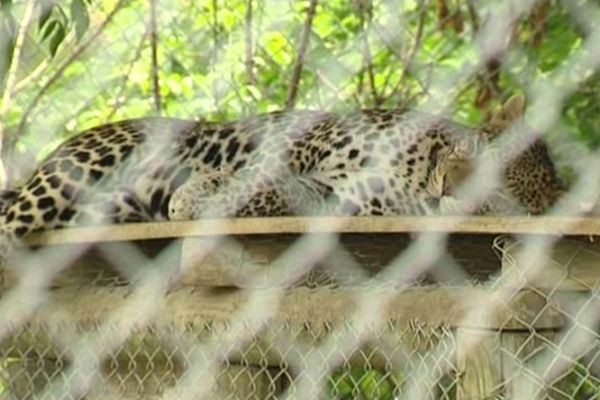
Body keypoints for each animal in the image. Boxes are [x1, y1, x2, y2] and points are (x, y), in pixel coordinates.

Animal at [0, 95, 568, 260]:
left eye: (501, 195)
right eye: (472, 154)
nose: (449, 187)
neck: (415, 177)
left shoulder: (339, 199)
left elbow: (271, 196)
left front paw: (192, 197)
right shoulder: (306, 138)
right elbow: (260, 171)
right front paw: (199, 188)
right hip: (80, 168)